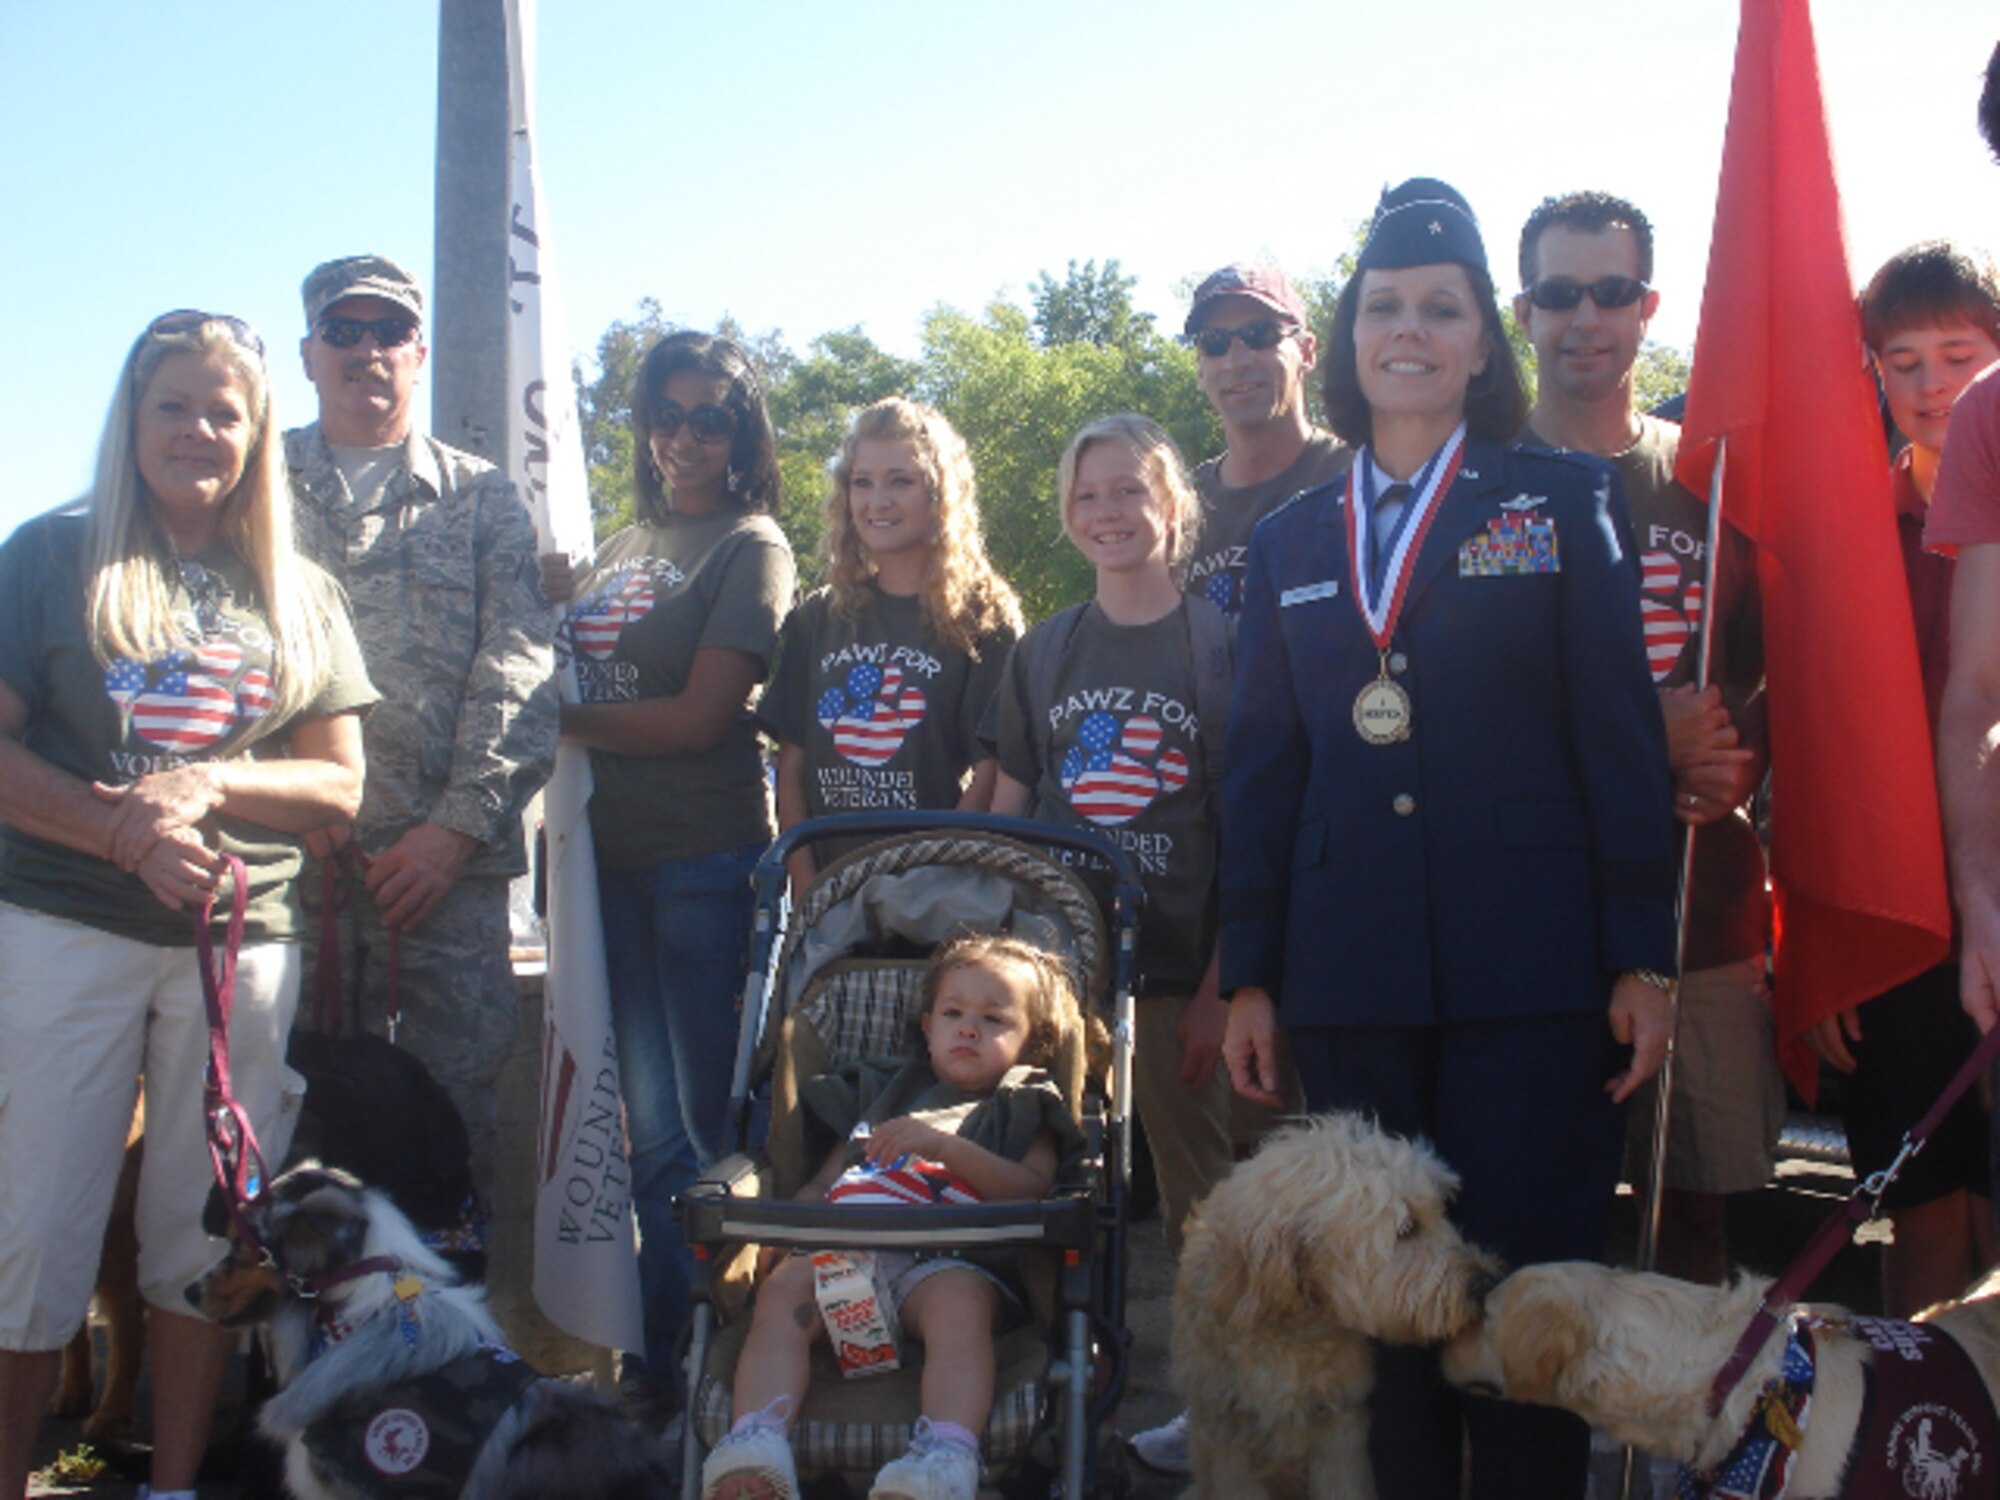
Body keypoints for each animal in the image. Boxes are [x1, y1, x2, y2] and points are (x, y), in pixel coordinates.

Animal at [1168, 1120, 1504, 1500]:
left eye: (1442, 1210)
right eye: (1407, 1228)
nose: (1487, 1283)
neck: (1290, 1325)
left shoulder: (1340, 1430)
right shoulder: (1230, 1441)